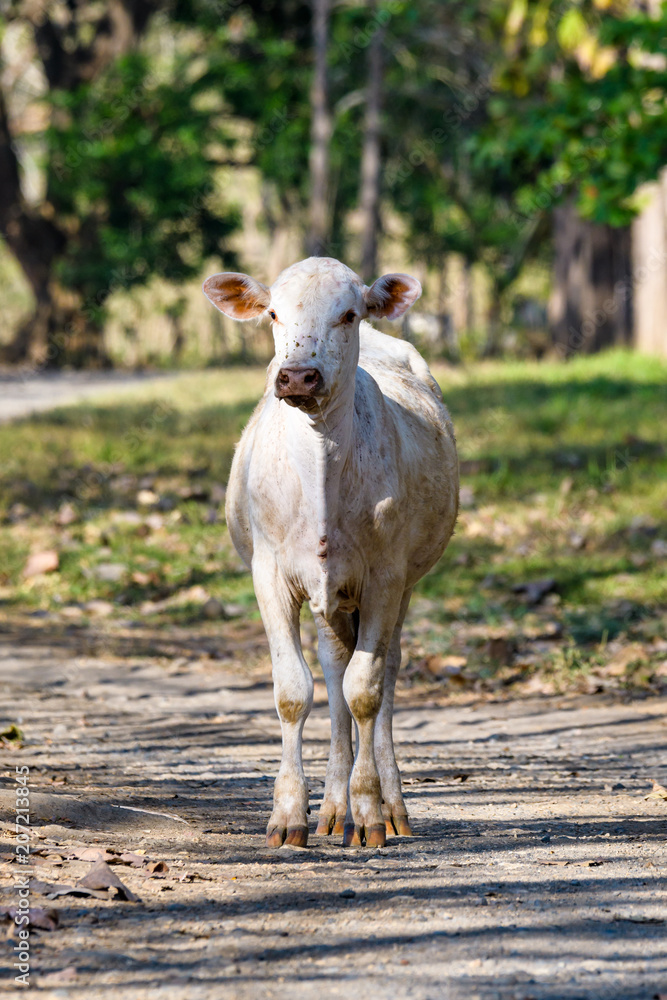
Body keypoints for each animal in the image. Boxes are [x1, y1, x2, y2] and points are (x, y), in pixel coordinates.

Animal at [203, 256, 458, 848]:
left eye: (348, 313)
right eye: (274, 313)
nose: (298, 375)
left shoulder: (386, 575)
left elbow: (365, 690)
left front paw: (369, 812)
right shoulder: (269, 573)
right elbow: (294, 690)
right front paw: (288, 814)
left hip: (402, 584)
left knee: (383, 670)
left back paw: (387, 805)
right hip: (330, 595)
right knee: (333, 663)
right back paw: (332, 808)